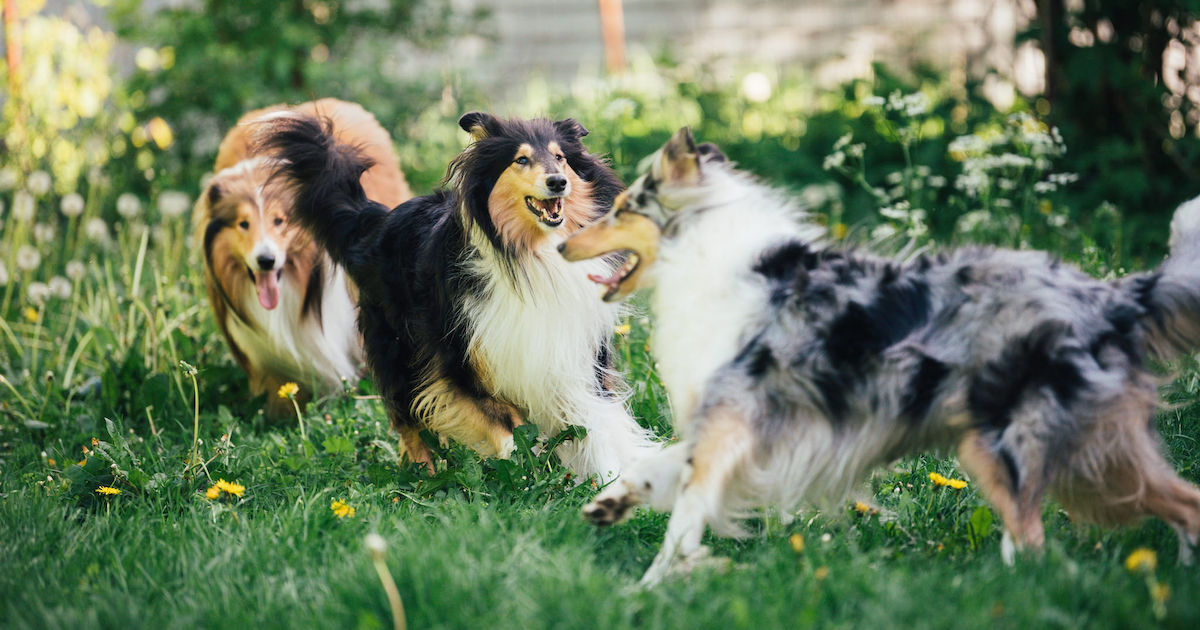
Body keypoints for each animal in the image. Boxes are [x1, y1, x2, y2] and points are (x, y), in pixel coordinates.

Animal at [258, 110, 662, 480]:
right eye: (521, 160)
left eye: (560, 157)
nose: (558, 182)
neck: (532, 254)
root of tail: (379, 218)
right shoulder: (457, 360)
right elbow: (506, 431)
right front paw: (517, 467)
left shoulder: (577, 356)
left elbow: (593, 421)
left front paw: (607, 476)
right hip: (398, 348)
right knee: (406, 417)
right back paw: (423, 473)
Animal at [559, 127, 1200, 585]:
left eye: (623, 210)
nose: (563, 244)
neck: (707, 254)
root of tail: (1108, 296)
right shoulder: (741, 422)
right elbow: (664, 463)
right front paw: (614, 503)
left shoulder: (732, 417)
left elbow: (688, 510)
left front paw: (653, 584)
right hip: (1097, 456)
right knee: (1184, 504)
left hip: (1006, 448)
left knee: (1037, 545)